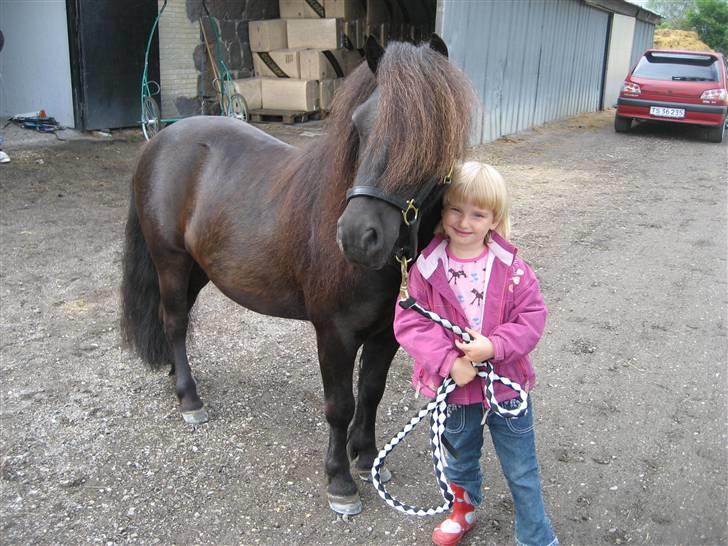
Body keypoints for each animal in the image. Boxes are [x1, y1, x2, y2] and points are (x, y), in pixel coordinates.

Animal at [121, 35, 478, 516]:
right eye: (360, 124)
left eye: (431, 132)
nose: (357, 237)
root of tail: (158, 141)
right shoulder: (334, 333)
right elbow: (340, 404)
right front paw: (340, 481)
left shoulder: (386, 335)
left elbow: (371, 392)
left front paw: (367, 458)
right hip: (171, 262)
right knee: (175, 324)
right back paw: (190, 398)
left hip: (198, 268)